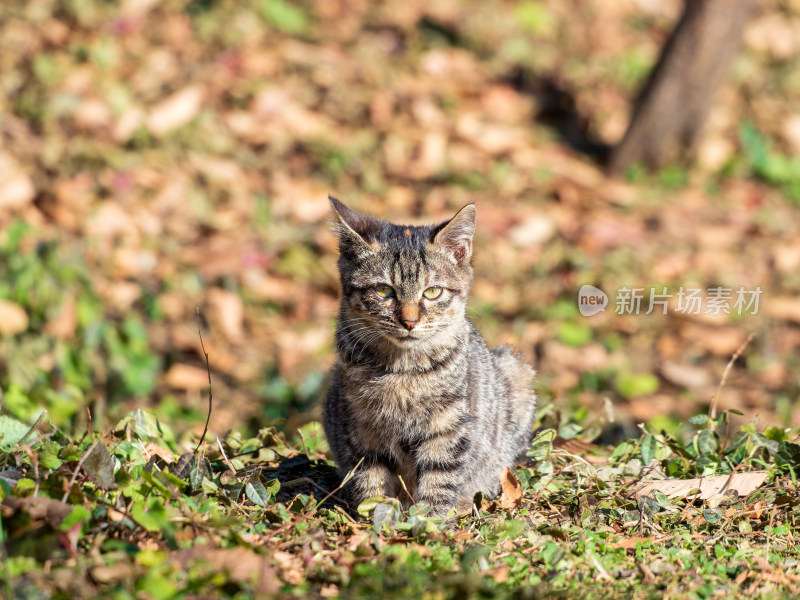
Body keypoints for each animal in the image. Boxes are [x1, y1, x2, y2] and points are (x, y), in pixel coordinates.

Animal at [320, 197, 536, 516]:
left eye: (432, 292)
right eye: (384, 291)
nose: (409, 321)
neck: (402, 369)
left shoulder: (448, 424)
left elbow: (440, 477)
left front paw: (429, 519)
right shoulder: (361, 425)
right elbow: (372, 478)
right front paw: (377, 512)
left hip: (515, 371)